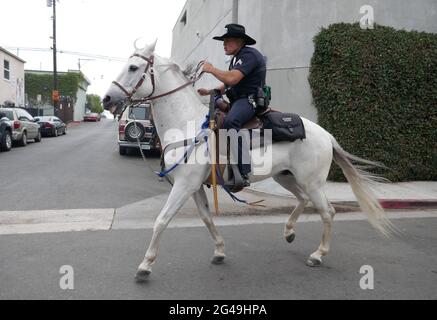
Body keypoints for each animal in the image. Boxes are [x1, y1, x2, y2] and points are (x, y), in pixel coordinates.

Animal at [103, 42, 396, 280]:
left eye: (133, 67)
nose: (107, 99)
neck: (187, 126)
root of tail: (327, 134)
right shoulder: (193, 187)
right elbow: (206, 218)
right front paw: (220, 251)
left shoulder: (184, 186)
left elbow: (162, 220)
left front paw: (145, 266)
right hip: (285, 176)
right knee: (303, 200)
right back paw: (289, 232)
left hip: (311, 182)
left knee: (327, 211)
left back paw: (317, 254)